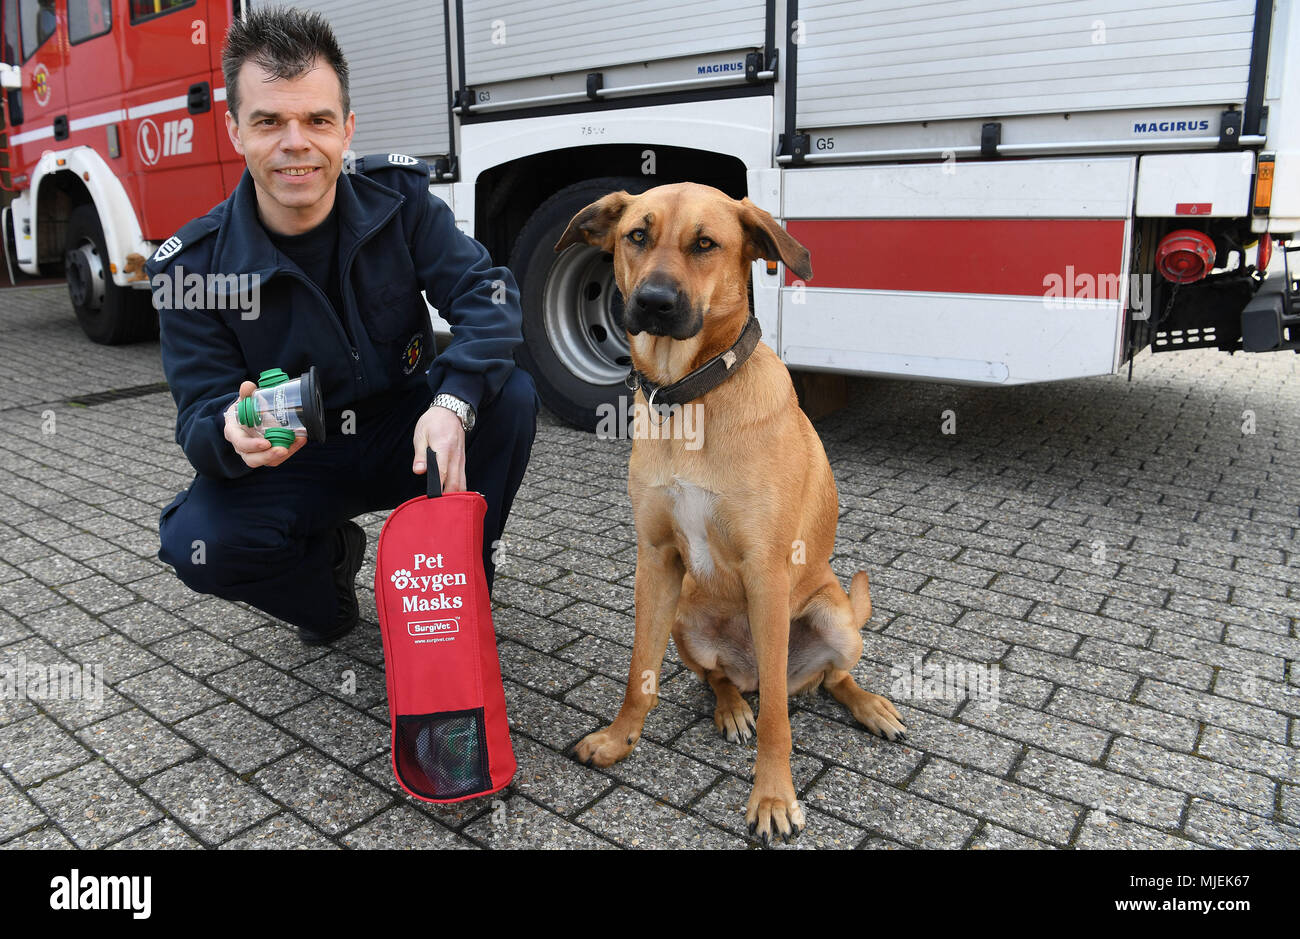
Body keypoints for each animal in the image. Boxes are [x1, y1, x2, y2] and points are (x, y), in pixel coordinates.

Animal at [556, 180, 904, 842]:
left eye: (705, 244)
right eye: (636, 235)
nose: (653, 302)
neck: (688, 395)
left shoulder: (766, 572)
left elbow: (778, 723)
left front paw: (771, 796)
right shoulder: (656, 560)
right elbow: (640, 674)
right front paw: (619, 740)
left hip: (835, 618)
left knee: (825, 680)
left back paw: (867, 705)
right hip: (688, 616)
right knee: (724, 679)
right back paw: (733, 705)